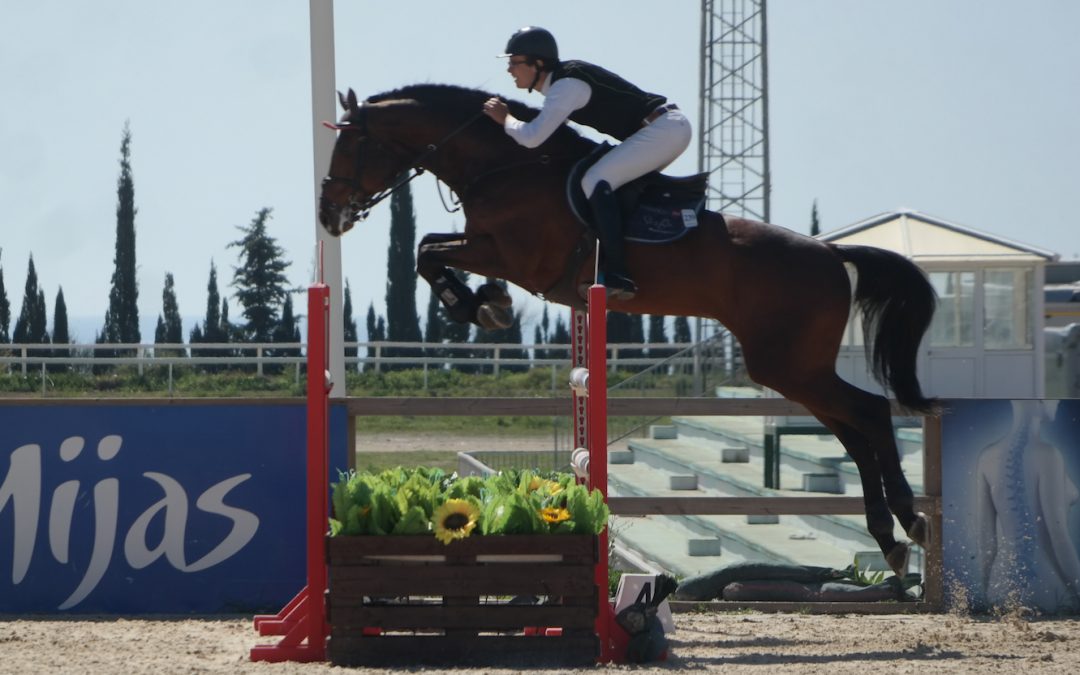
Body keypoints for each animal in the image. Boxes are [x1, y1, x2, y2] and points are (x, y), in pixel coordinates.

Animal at [317, 84, 937, 574]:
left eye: (352, 145)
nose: (329, 215)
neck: (506, 166)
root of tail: (832, 254)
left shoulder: (515, 256)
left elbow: (427, 251)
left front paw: (480, 305)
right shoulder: (492, 248)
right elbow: (429, 247)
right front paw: (486, 304)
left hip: (788, 365)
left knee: (869, 413)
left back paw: (909, 522)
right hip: (795, 369)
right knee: (854, 431)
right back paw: (890, 538)